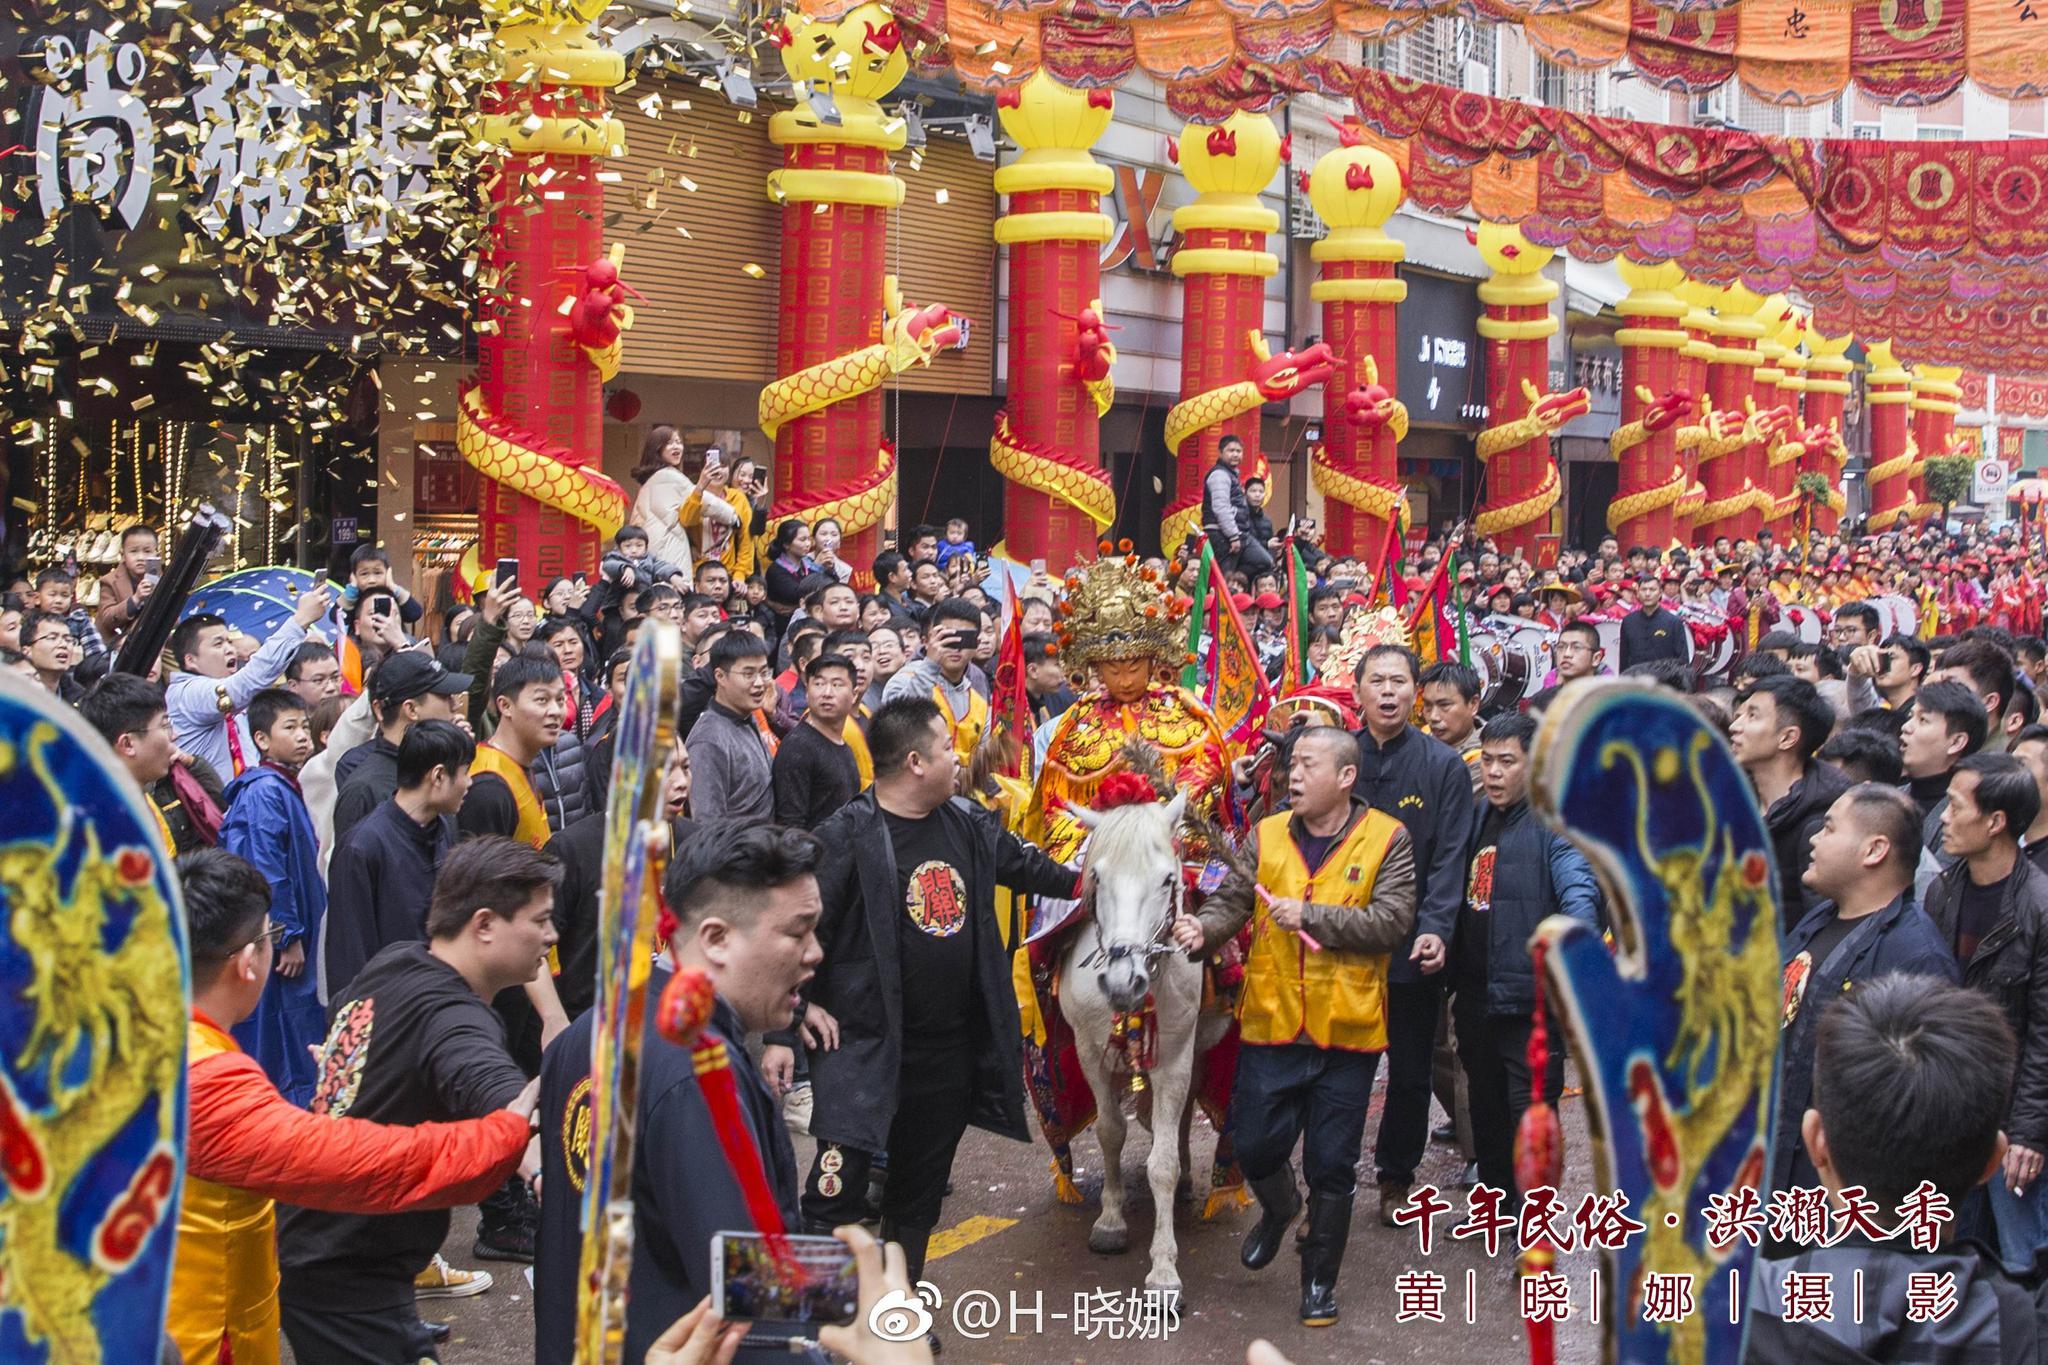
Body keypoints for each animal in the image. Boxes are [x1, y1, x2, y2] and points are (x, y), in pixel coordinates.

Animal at [1064, 789, 1204, 1301]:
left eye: (1167, 879)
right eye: (1096, 876)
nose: (1125, 979)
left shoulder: (1176, 1057)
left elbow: (1161, 1163)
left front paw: (1163, 1270)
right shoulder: (1089, 1052)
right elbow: (1110, 1132)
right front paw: (1109, 1220)